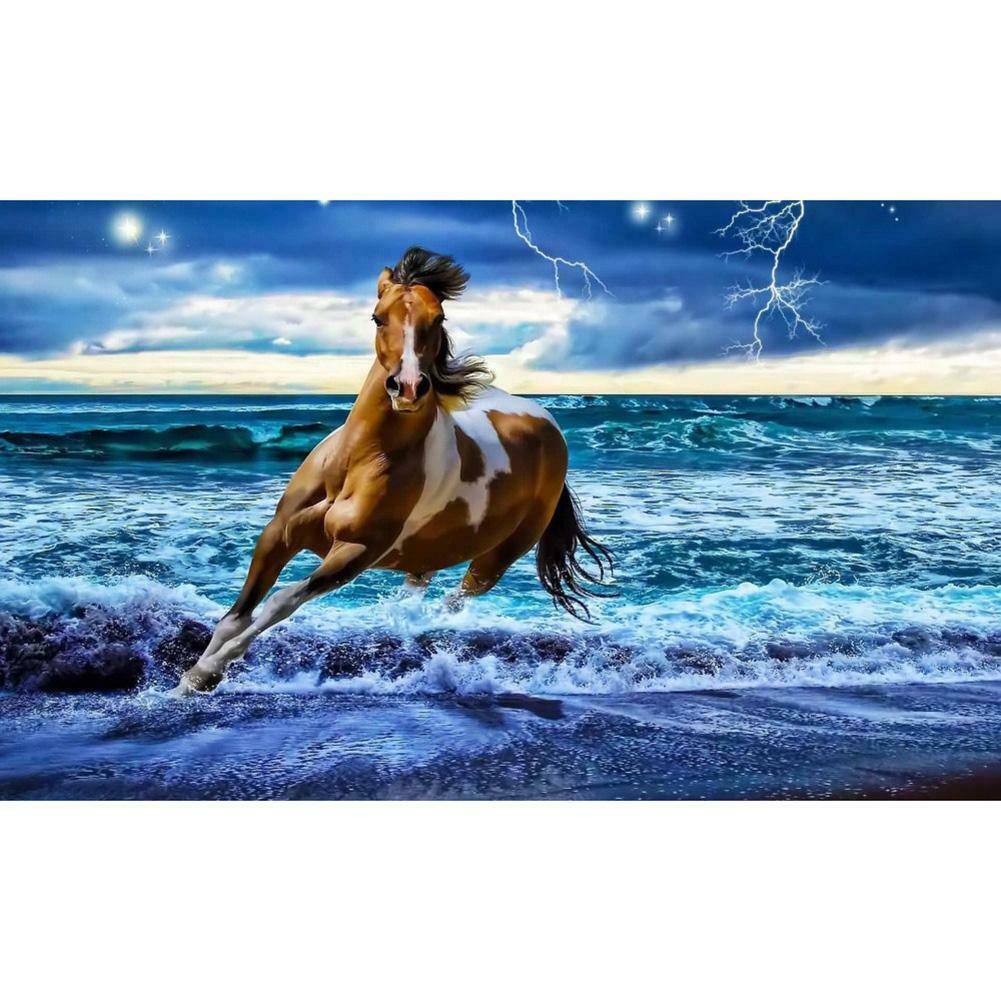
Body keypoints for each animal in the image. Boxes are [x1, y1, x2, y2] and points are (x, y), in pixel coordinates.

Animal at [174, 246, 614, 694]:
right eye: (377, 317)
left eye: (438, 318)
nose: (407, 387)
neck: (357, 462)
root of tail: (549, 427)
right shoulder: (278, 534)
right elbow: (235, 617)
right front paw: (185, 682)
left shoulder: (356, 552)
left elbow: (281, 601)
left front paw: (205, 674)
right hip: (430, 552)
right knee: (417, 592)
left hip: (498, 556)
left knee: (454, 600)